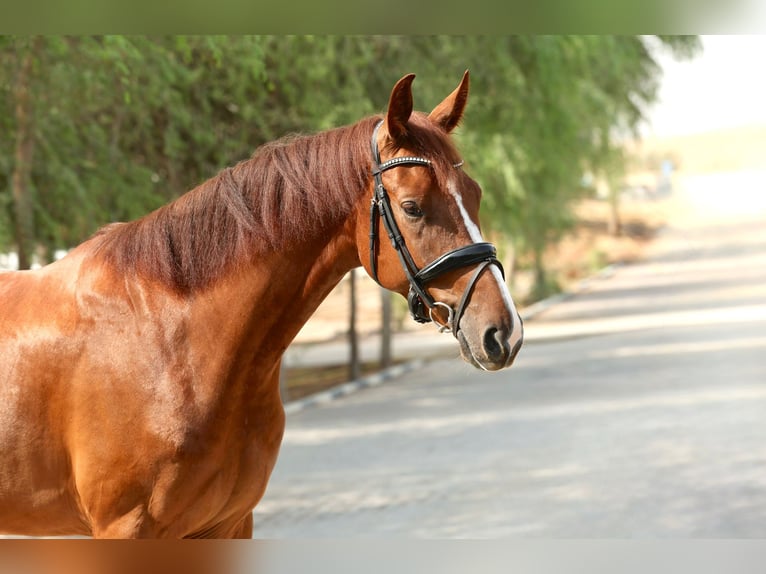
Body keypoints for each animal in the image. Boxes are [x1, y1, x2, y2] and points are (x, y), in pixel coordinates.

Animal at [0, 71, 523, 538]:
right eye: (413, 206)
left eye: (475, 194)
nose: (503, 332)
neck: (171, 342)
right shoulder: (126, 529)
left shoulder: (228, 524)